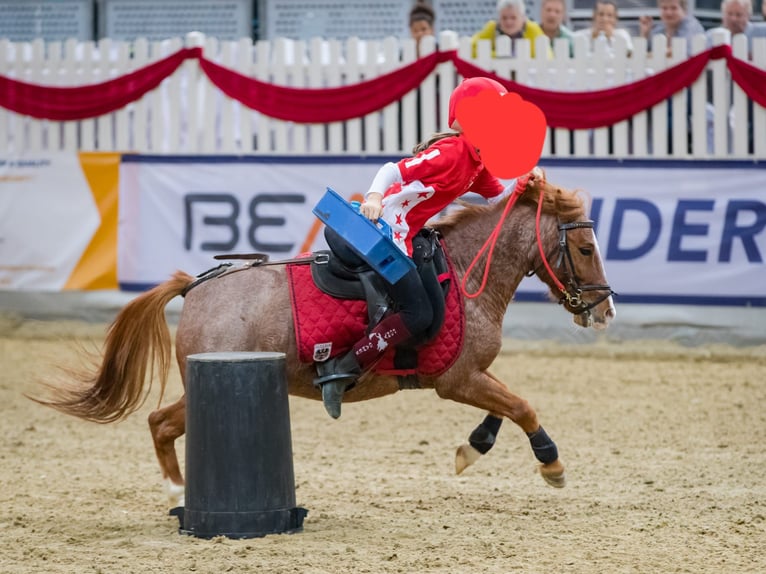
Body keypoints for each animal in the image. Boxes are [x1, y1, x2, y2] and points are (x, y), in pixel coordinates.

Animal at [34, 169, 616, 510]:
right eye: (586, 247)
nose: (606, 308)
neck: (464, 272)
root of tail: (198, 285)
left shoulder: (470, 374)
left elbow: (503, 407)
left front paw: (471, 449)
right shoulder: (456, 379)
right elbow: (521, 406)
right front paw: (552, 465)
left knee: (159, 422)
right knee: (159, 422)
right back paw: (179, 492)